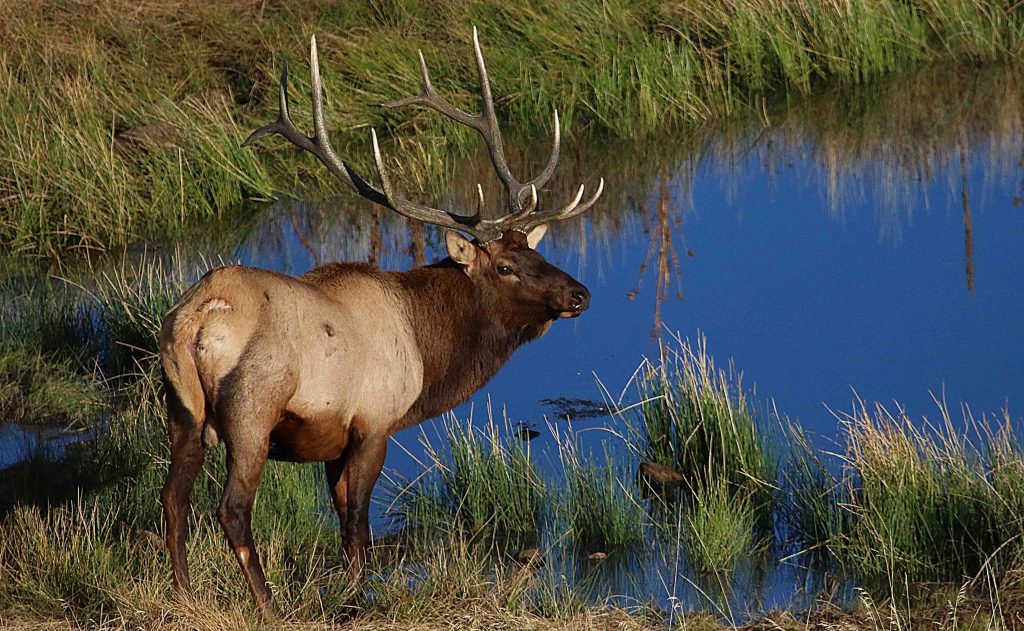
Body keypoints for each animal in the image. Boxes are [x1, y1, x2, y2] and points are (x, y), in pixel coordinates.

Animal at [158, 29, 598, 610]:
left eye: (535, 252)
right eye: (505, 266)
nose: (579, 294)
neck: (429, 351)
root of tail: (199, 316)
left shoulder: (332, 442)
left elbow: (345, 522)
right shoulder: (374, 423)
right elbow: (358, 526)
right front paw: (357, 598)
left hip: (181, 407)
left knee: (172, 499)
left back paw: (185, 596)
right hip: (252, 410)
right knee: (231, 510)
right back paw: (268, 603)